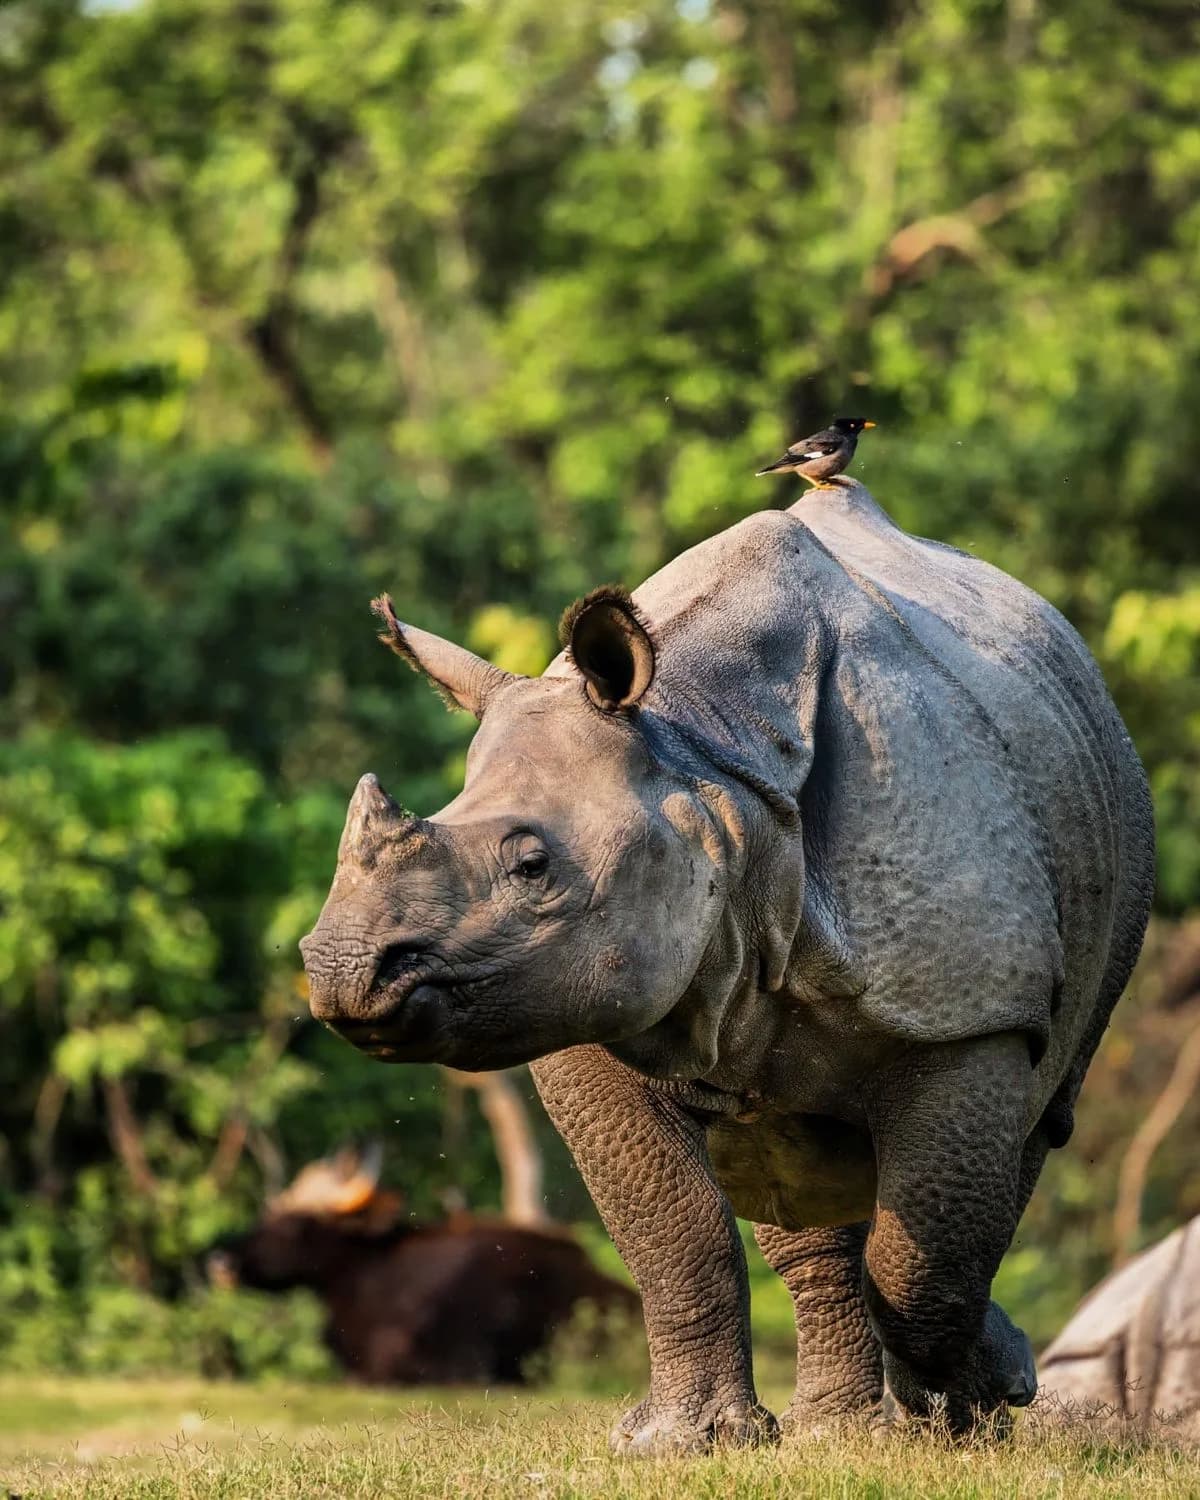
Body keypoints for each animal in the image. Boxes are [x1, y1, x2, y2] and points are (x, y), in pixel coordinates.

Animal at [301, 482, 1154, 1450]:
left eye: (532, 865)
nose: (343, 970)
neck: (705, 766)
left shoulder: (973, 1009)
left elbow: (925, 1246)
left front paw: (963, 1425)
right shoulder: (581, 1004)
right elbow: (673, 1224)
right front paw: (681, 1443)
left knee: (1030, 1126)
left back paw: (935, 1409)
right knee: (798, 1163)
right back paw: (838, 1432)